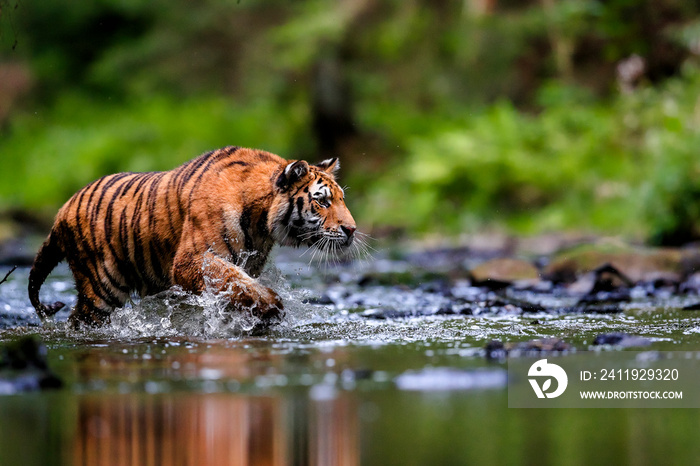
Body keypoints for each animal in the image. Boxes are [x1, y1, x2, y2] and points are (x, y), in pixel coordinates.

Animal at [28, 146, 358, 328]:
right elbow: (236, 282)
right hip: (101, 289)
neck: (261, 222)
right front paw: (271, 306)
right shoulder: (193, 259)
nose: (352, 230)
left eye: (342, 199)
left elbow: (238, 287)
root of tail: (61, 211)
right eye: (322, 201)